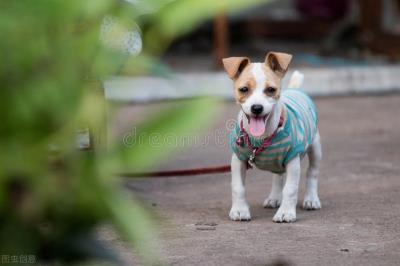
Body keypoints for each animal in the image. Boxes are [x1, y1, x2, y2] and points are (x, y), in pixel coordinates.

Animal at [222, 52, 322, 222]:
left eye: (270, 89)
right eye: (244, 89)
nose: (256, 108)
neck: (261, 138)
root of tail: (295, 90)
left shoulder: (293, 160)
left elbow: (290, 189)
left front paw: (286, 212)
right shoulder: (238, 159)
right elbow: (238, 187)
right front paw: (240, 210)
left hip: (315, 148)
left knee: (312, 173)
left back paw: (311, 199)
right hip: (278, 163)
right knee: (278, 177)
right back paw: (274, 198)